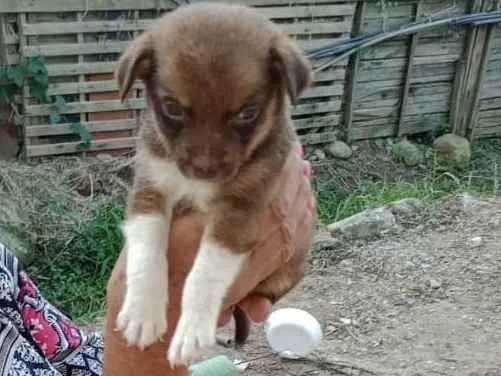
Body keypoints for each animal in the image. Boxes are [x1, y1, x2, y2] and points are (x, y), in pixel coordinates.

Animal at [115, 2, 314, 368]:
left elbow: (204, 273)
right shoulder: (149, 190)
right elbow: (146, 253)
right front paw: (141, 314)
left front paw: (192, 332)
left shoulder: (240, 209)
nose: (204, 171)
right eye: (172, 108)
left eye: (248, 112)